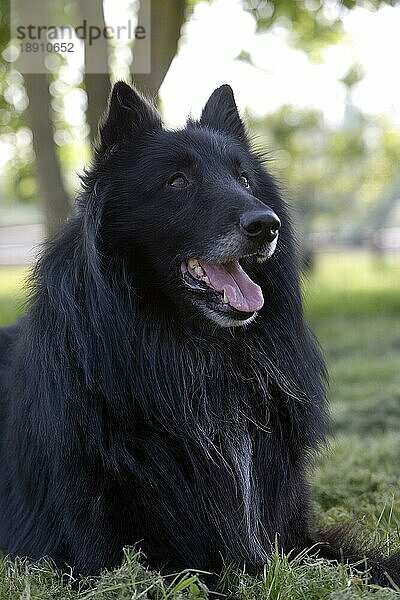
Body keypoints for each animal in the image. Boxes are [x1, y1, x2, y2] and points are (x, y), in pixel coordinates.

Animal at [0, 82, 398, 584]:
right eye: (177, 182)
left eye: (244, 179)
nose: (266, 225)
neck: (198, 356)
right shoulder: (119, 559)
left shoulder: (291, 533)